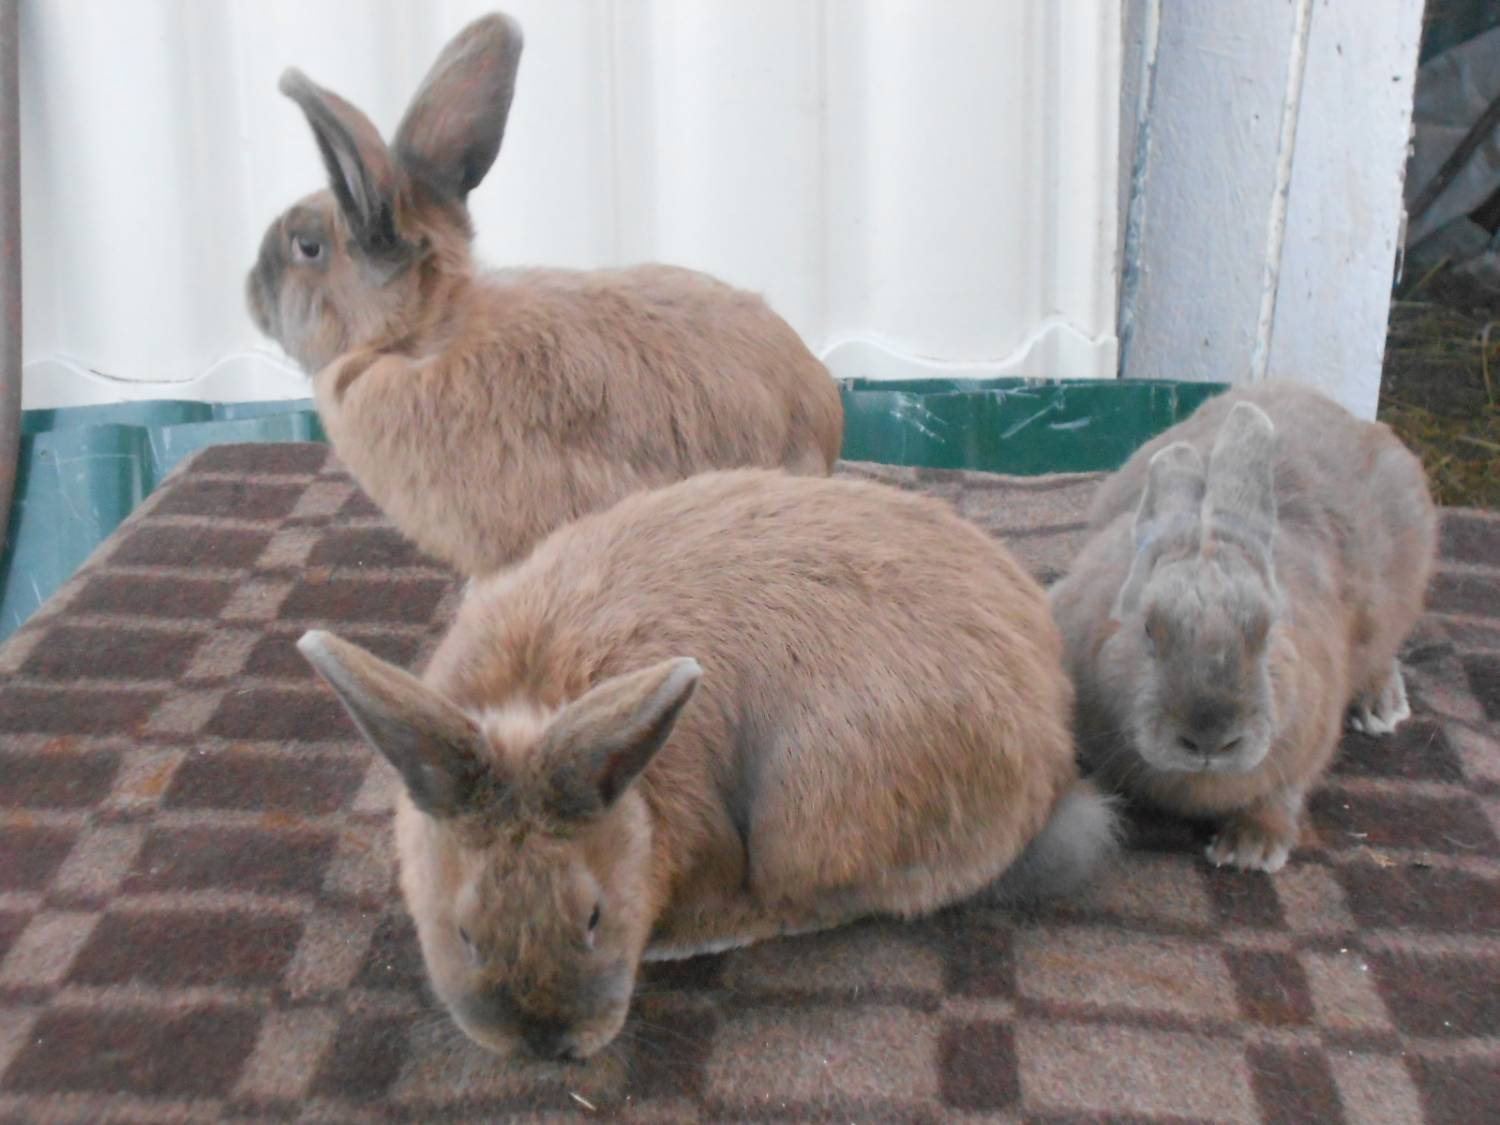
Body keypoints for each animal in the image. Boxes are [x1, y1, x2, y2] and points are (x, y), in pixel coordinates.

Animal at [298, 469, 1117, 1060]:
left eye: (594, 917)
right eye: (464, 934)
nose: (544, 1045)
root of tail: (1050, 731)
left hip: (803, 810)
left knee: (828, 900)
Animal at [1050, 382, 1437, 873]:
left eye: (1268, 632)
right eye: (1149, 630)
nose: (1210, 741)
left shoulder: (1308, 741)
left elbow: (1281, 795)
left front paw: (1250, 850)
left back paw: (1381, 704)